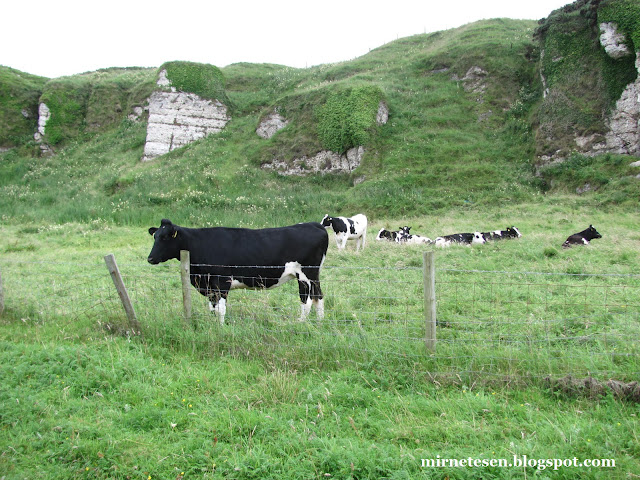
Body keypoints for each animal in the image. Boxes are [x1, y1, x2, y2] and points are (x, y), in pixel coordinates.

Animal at [148, 219, 328, 324]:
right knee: (318, 296)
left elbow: (220, 309)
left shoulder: (221, 282)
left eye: (165, 237)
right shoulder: (209, 285)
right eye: (155, 236)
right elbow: (212, 308)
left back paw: (300, 323)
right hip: (314, 275)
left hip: (305, 274)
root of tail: (314, 224)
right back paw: (320, 323)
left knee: (307, 300)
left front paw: (220, 329)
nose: (150, 258)